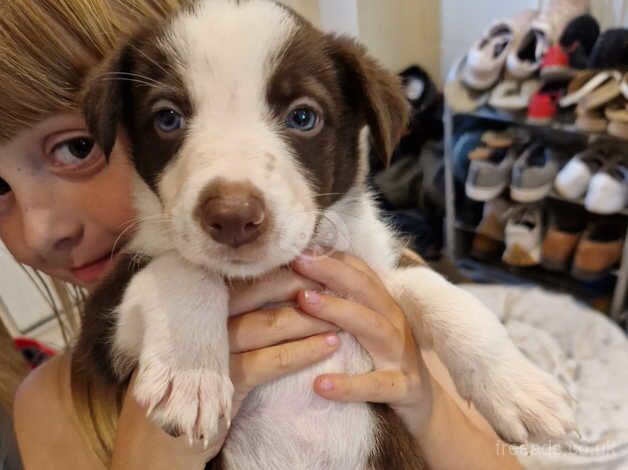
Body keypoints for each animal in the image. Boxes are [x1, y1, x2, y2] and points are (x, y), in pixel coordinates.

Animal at [76, 1, 576, 468]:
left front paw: (519, 387)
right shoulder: (100, 334)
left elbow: (446, 296)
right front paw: (191, 373)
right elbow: (181, 269)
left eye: (302, 117)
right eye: (167, 119)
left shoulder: (378, 267)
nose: (233, 217)